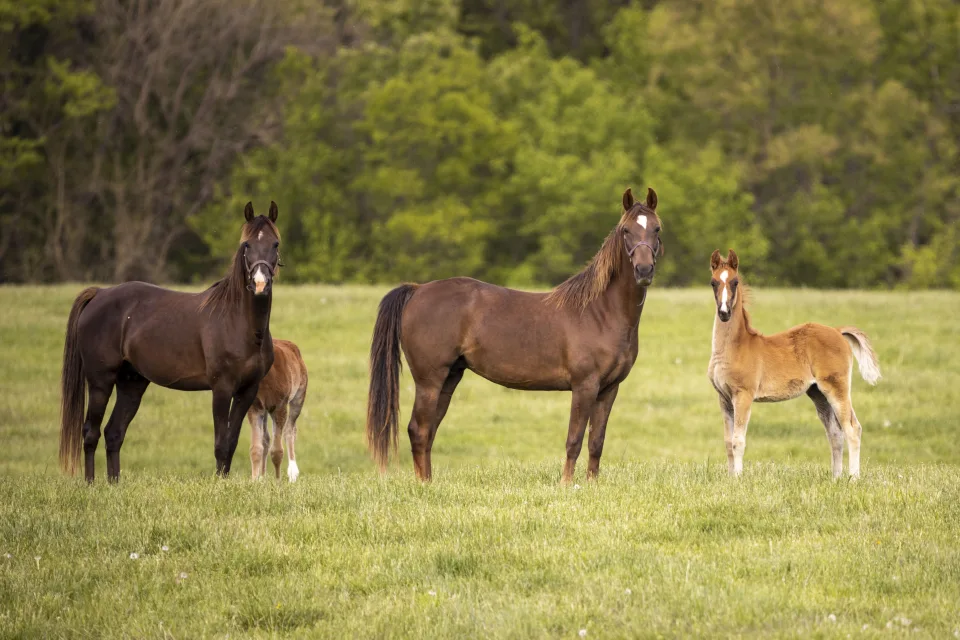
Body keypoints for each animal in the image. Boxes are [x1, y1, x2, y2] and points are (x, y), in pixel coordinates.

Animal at [59, 202, 282, 482]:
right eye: (247, 245)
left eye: (275, 244)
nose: (260, 283)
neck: (238, 323)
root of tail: (100, 294)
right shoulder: (221, 388)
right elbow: (221, 444)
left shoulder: (247, 390)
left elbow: (231, 443)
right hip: (100, 382)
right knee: (91, 432)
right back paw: (91, 484)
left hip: (132, 384)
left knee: (114, 433)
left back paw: (114, 484)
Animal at [247, 339, 307, 482]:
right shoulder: (255, 407)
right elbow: (256, 448)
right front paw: (254, 481)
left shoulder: (280, 406)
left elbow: (277, 451)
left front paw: (278, 481)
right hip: (264, 410)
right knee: (266, 438)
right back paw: (262, 477)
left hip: (299, 397)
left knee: (290, 430)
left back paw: (292, 474)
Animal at [366, 187, 664, 483]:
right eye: (626, 230)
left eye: (657, 228)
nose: (644, 270)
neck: (599, 312)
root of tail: (417, 290)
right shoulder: (585, 386)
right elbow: (574, 440)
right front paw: (567, 484)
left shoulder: (609, 389)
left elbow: (596, 442)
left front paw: (591, 484)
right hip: (429, 380)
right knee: (419, 430)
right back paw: (424, 486)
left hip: (449, 377)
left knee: (428, 431)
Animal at [706, 249, 881, 478]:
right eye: (713, 282)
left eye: (735, 282)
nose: (724, 312)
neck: (735, 347)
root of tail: (837, 331)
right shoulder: (724, 398)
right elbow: (727, 442)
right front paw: (730, 478)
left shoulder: (743, 395)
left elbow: (738, 441)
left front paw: (738, 479)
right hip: (818, 393)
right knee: (835, 433)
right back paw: (836, 478)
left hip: (837, 387)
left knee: (852, 428)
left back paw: (853, 479)